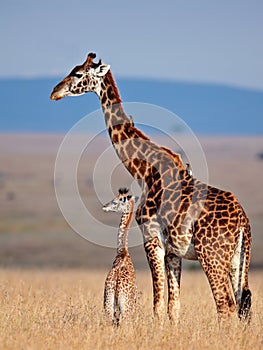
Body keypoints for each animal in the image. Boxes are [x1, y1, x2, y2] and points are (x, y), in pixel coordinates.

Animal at [102, 189, 139, 326]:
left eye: (115, 202)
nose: (104, 207)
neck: (122, 252)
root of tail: (117, 285)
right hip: (126, 308)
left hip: (108, 305)